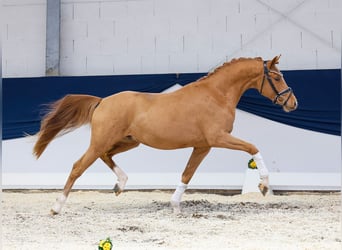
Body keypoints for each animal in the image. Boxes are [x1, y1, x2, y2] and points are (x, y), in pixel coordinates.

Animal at [33, 55, 298, 214]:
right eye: (276, 77)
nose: (292, 103)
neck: (216, 94)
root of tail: (102, 101)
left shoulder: (203, 146)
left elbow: (187, 174)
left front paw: (175, 205)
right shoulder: (217, 138)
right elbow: (253, 147)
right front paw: (263, 185)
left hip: (128, 142)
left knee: (106, 156)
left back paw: (120, 184)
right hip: (102, 141)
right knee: (78, 166)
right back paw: (57, 207)